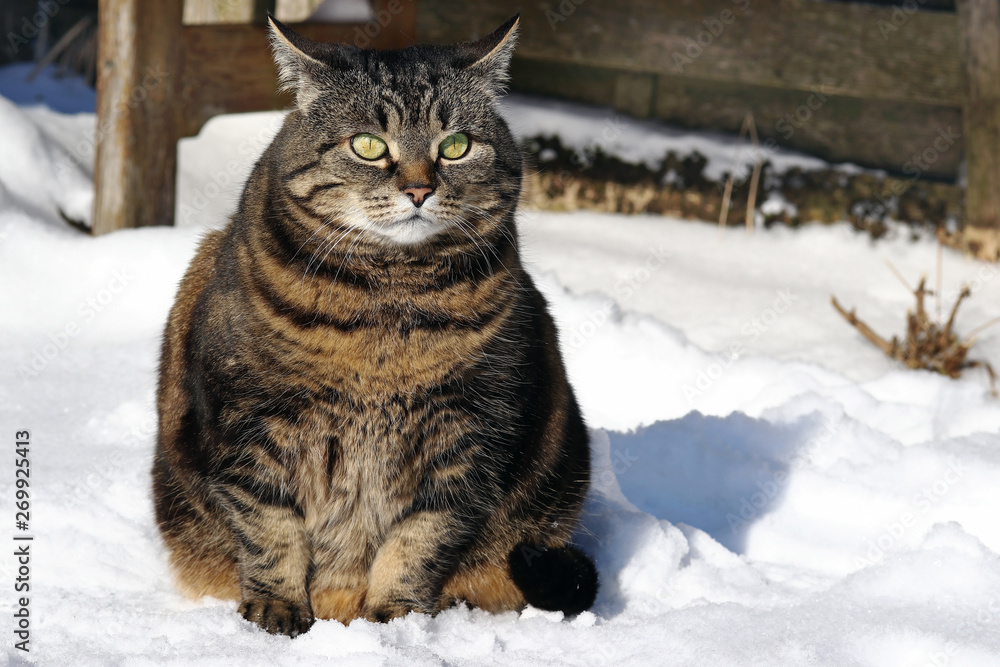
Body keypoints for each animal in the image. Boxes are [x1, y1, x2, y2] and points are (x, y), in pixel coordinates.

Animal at [152, 11, 596, 636]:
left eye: (455, 146)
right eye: (368, 145)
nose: (418, 188)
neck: (386, 310)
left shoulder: (470, 434)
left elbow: (420, 539)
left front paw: (398, 620)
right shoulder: (250, 422)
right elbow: (269, 527)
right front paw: (276, 610)